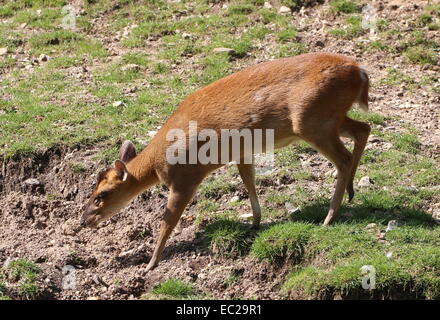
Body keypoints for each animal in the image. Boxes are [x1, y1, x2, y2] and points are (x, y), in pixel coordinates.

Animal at [80, 52, 372, 270]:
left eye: (102, 194)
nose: (83, 220)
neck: (158, 163)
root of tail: (359, 71)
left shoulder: (185, 178)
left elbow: (168, 220)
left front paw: (151, 263)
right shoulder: (242, 153)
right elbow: (248, 180)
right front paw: (255, 221)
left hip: (312, 120)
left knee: (344, 157)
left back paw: (330, 216)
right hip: (328, 118)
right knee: (363, 128)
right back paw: (350, 192)